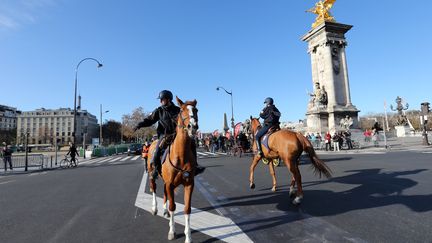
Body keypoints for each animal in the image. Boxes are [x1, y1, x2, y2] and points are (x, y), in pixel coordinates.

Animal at [147, 96, 197, 242]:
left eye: (196, 110)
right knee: (154, 188)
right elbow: (172, 206)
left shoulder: (189, 184)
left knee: (164, 193)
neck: (181, 155)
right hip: (152, 174)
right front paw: (172, 231)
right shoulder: (170, 183)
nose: (193, 126)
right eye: (182, 110)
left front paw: (188, 237)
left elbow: (187, 209)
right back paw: (155, 208)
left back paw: (164, 212)